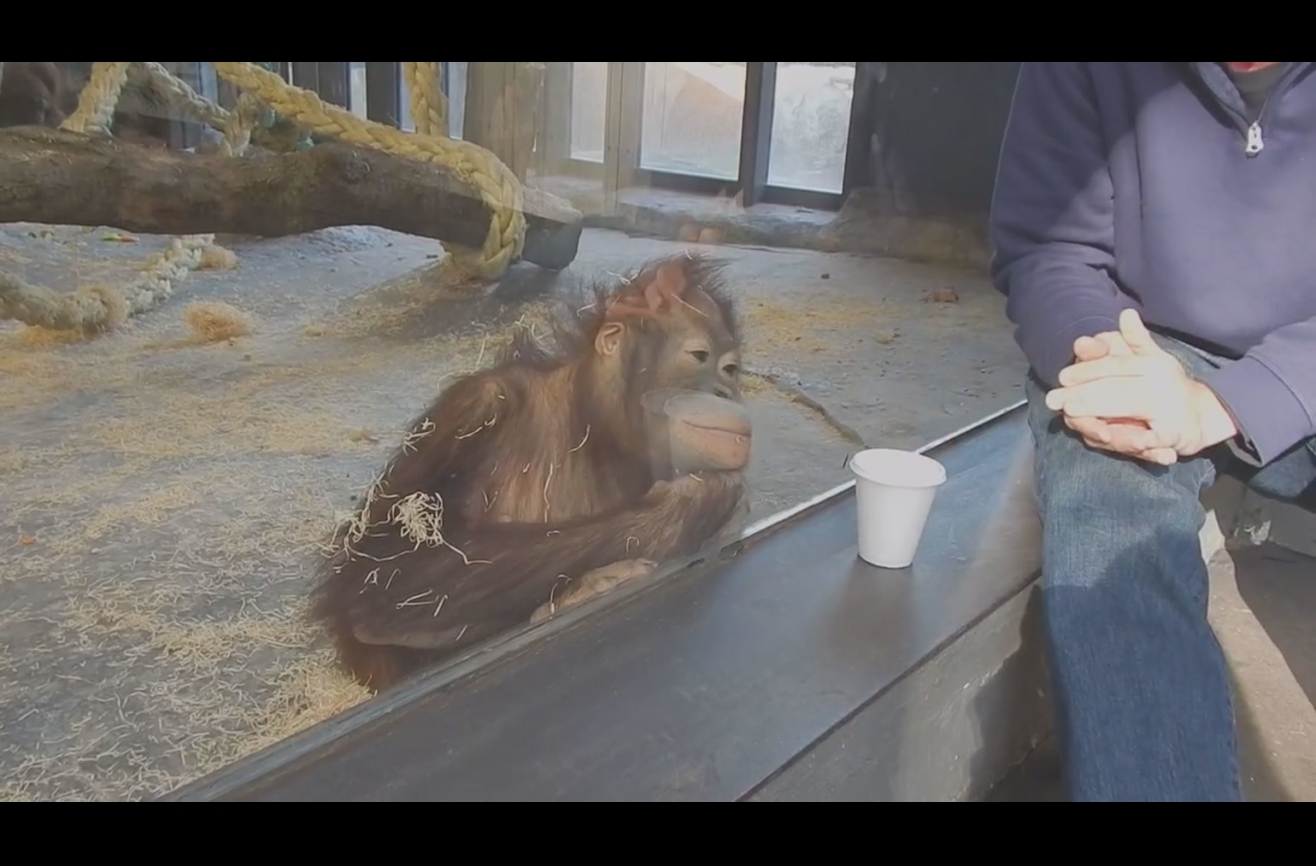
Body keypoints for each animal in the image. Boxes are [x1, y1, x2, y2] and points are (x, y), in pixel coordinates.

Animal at [311, 253, 755, 693]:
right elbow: (382, 572)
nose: (724, 393)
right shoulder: (473, 408)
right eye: (698, 356)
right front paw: (695, 502)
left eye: (730, 370)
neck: (590, 425)